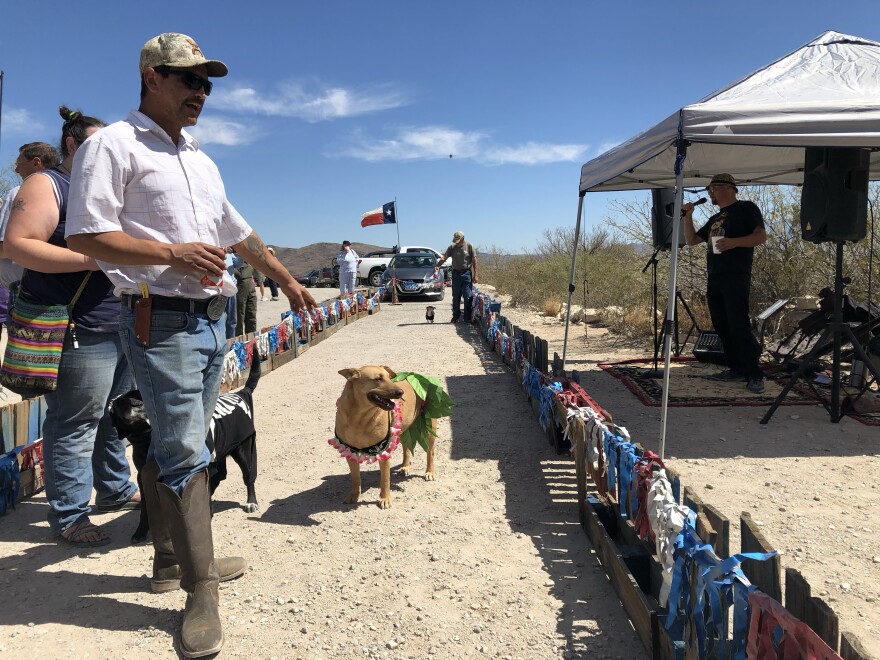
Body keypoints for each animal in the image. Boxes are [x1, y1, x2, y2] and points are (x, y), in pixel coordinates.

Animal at [110, 358, 262, 544]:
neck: (148, 440)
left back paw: (251, 501)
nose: (115, 401)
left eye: (134, 398)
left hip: (243, 452)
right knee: (220, 474)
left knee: (248, 478)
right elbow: (146, 508)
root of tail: (240, 393)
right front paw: (141, 531)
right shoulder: (143, 477)